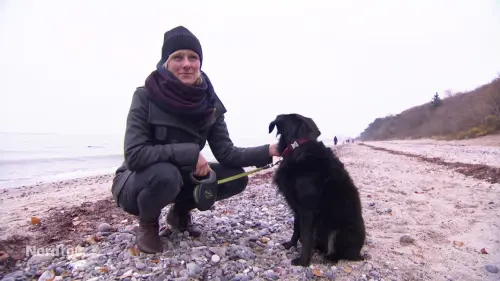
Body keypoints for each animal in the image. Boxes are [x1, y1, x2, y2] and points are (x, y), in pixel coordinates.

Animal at [270, 113, 368, 264]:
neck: (298, 146)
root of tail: (359, 252)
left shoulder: (307, 208)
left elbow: (305, 235)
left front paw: (303, 261)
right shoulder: (297, 209)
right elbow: (296, 228)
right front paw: (291, 244)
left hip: (338, 232)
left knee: (341, 254)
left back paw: (328, 257)